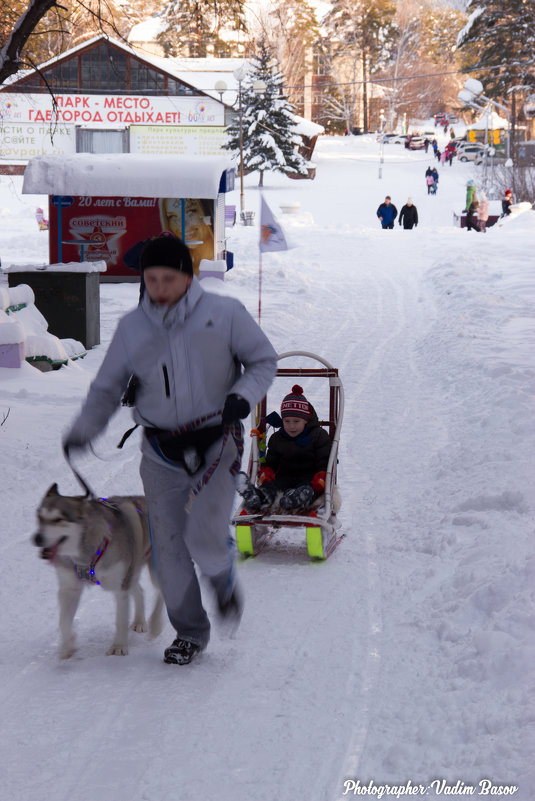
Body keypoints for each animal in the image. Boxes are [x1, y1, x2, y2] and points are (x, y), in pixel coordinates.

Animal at [33, 482, 163, 656]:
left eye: (58, 519)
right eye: (39, 517)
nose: (37, 538)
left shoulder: (119, 586)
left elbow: (120, 619)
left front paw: (119, 646)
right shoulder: (69, 588)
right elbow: (64, 622)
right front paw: (67, 646)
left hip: (154, 569)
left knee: (162, 592)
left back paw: (155, 624)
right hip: (131, 571)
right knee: (139, 590)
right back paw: (139, 621)